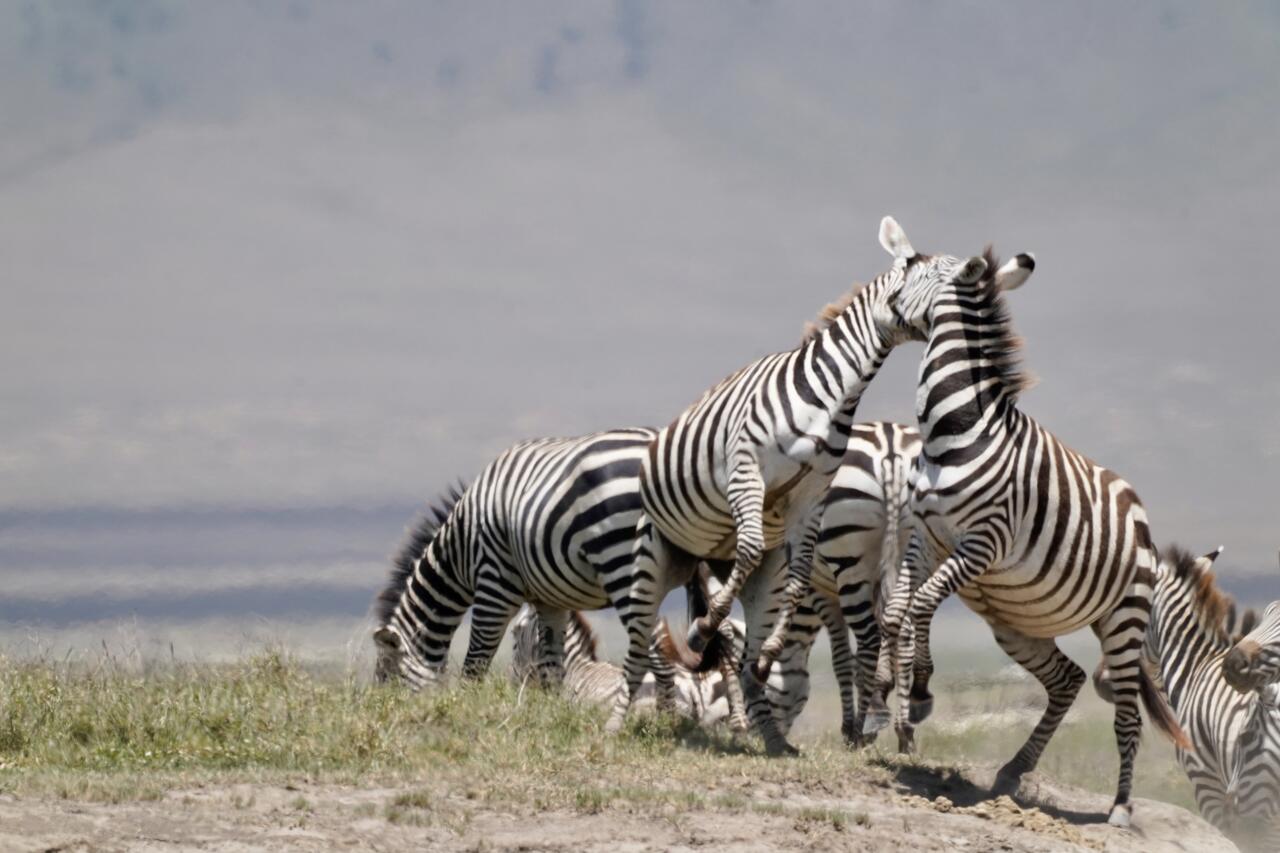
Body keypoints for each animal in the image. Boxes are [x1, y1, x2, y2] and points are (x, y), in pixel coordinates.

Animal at [615, 218, 974, 753]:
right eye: (936, 273)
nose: (979, 279)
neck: (830, 397)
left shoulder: (813, 498)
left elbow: (796, 580)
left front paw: (769, 659)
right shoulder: (746, 472)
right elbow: (751, 560)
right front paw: (706, 630)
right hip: (656, 554)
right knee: (640, 645)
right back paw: (614, 726)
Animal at [866, 223, 1187, 827]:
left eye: (913, 266)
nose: (878, 312)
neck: (955, 428)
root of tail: (1140, 513)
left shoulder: (982, 544)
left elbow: (922, 605)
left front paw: (919, 695)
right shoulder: (926, 537)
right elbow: (897, 611)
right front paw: (885, 703)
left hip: (1124, 617)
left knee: (1127, 715)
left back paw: (1120, 808)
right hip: (1017, 623)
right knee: (1068, 679)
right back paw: (1014, 770)